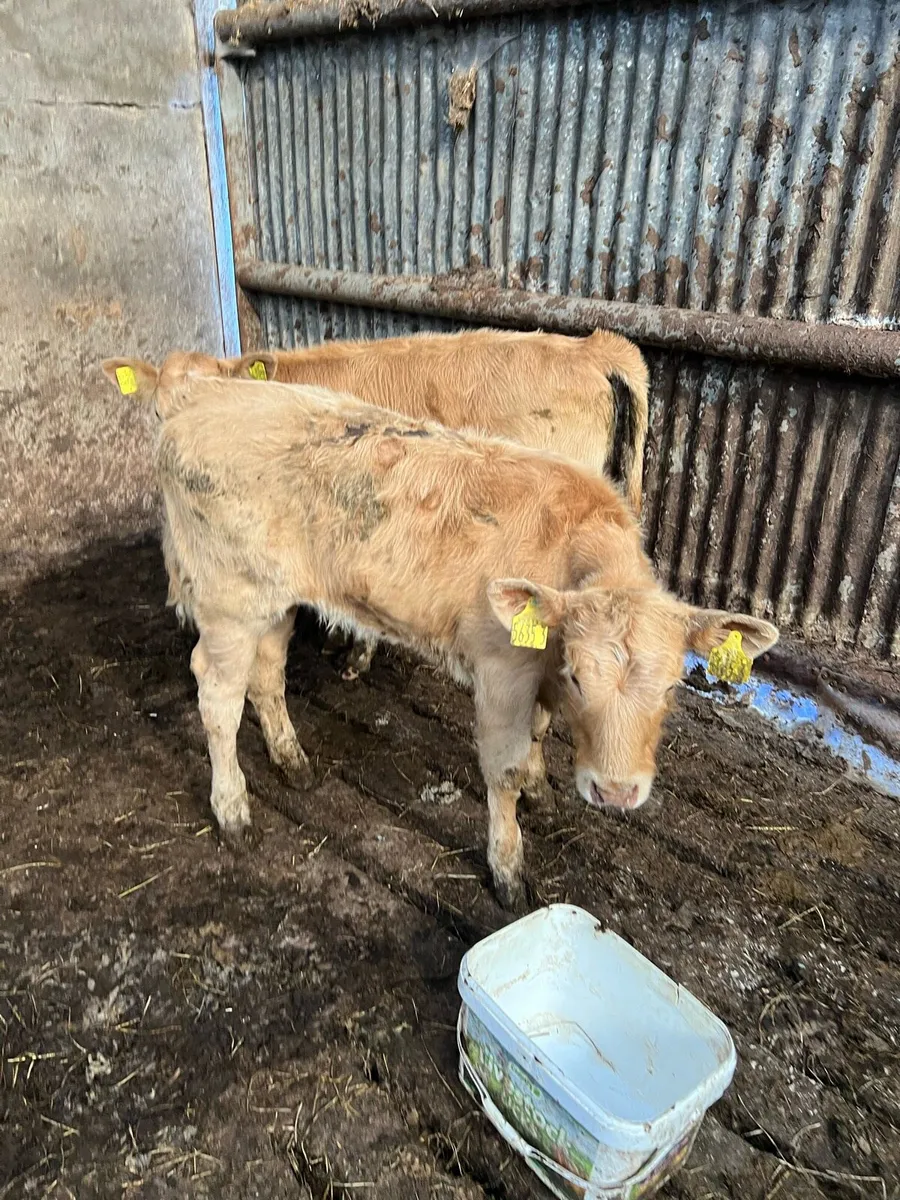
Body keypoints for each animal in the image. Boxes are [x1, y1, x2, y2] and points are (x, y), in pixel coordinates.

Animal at [107, 368, 777, 909]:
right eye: (581, 678)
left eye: (670, 689)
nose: (616, 792)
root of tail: (205, 395)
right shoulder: (503, 672)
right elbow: (503, 769)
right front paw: (508, 869)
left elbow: (538, 737)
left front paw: (542, 789)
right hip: (228, 601)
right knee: (218, 699)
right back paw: (233, 811)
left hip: (273, 601)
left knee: (266, 676)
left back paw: (292, 762)